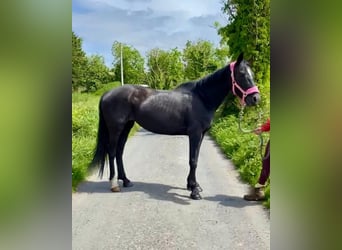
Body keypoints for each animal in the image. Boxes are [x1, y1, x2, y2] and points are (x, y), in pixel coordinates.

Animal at [90, 52, 260, 199]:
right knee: (112, 152)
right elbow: (193, 160)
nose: (256, 98)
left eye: (252, 74)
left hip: (127, 126)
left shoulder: (201, 134)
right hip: (116, 128)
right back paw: (114, 185)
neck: (202, 98)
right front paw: (194, 191)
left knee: (119, 151)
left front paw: (193, 185)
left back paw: (126, 180)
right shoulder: (195, 133)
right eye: (242, 74)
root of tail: (106, 94)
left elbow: (195, 158)